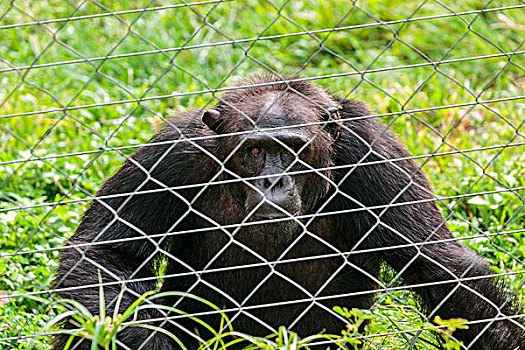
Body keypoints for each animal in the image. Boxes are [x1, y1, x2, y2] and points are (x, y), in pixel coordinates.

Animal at [54, 73, 524, 348]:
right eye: (256, 151)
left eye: (292, 150)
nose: (274, 181)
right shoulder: (170, 156)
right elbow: (105, 252)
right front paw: (139, 340)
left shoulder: (374, 152)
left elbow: (439, 266)